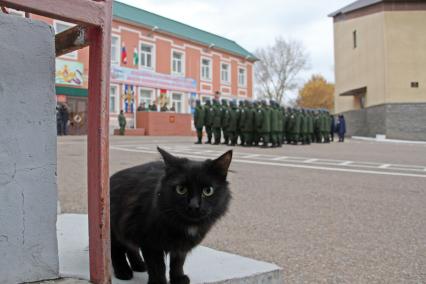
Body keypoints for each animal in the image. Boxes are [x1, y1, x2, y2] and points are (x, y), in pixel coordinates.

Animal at [108, 148, 231, 282]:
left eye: (208, 191)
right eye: (181, 189)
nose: (194, 206)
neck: (184, 225)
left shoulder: (180, 246)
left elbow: (178, 262)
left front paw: (178, 278)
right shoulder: (151, 244)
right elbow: (158, 267)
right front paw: (159, 282)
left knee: (131, 248)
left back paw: (139, 265)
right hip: (116, 231)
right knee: (116, 251)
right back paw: (123, 271)